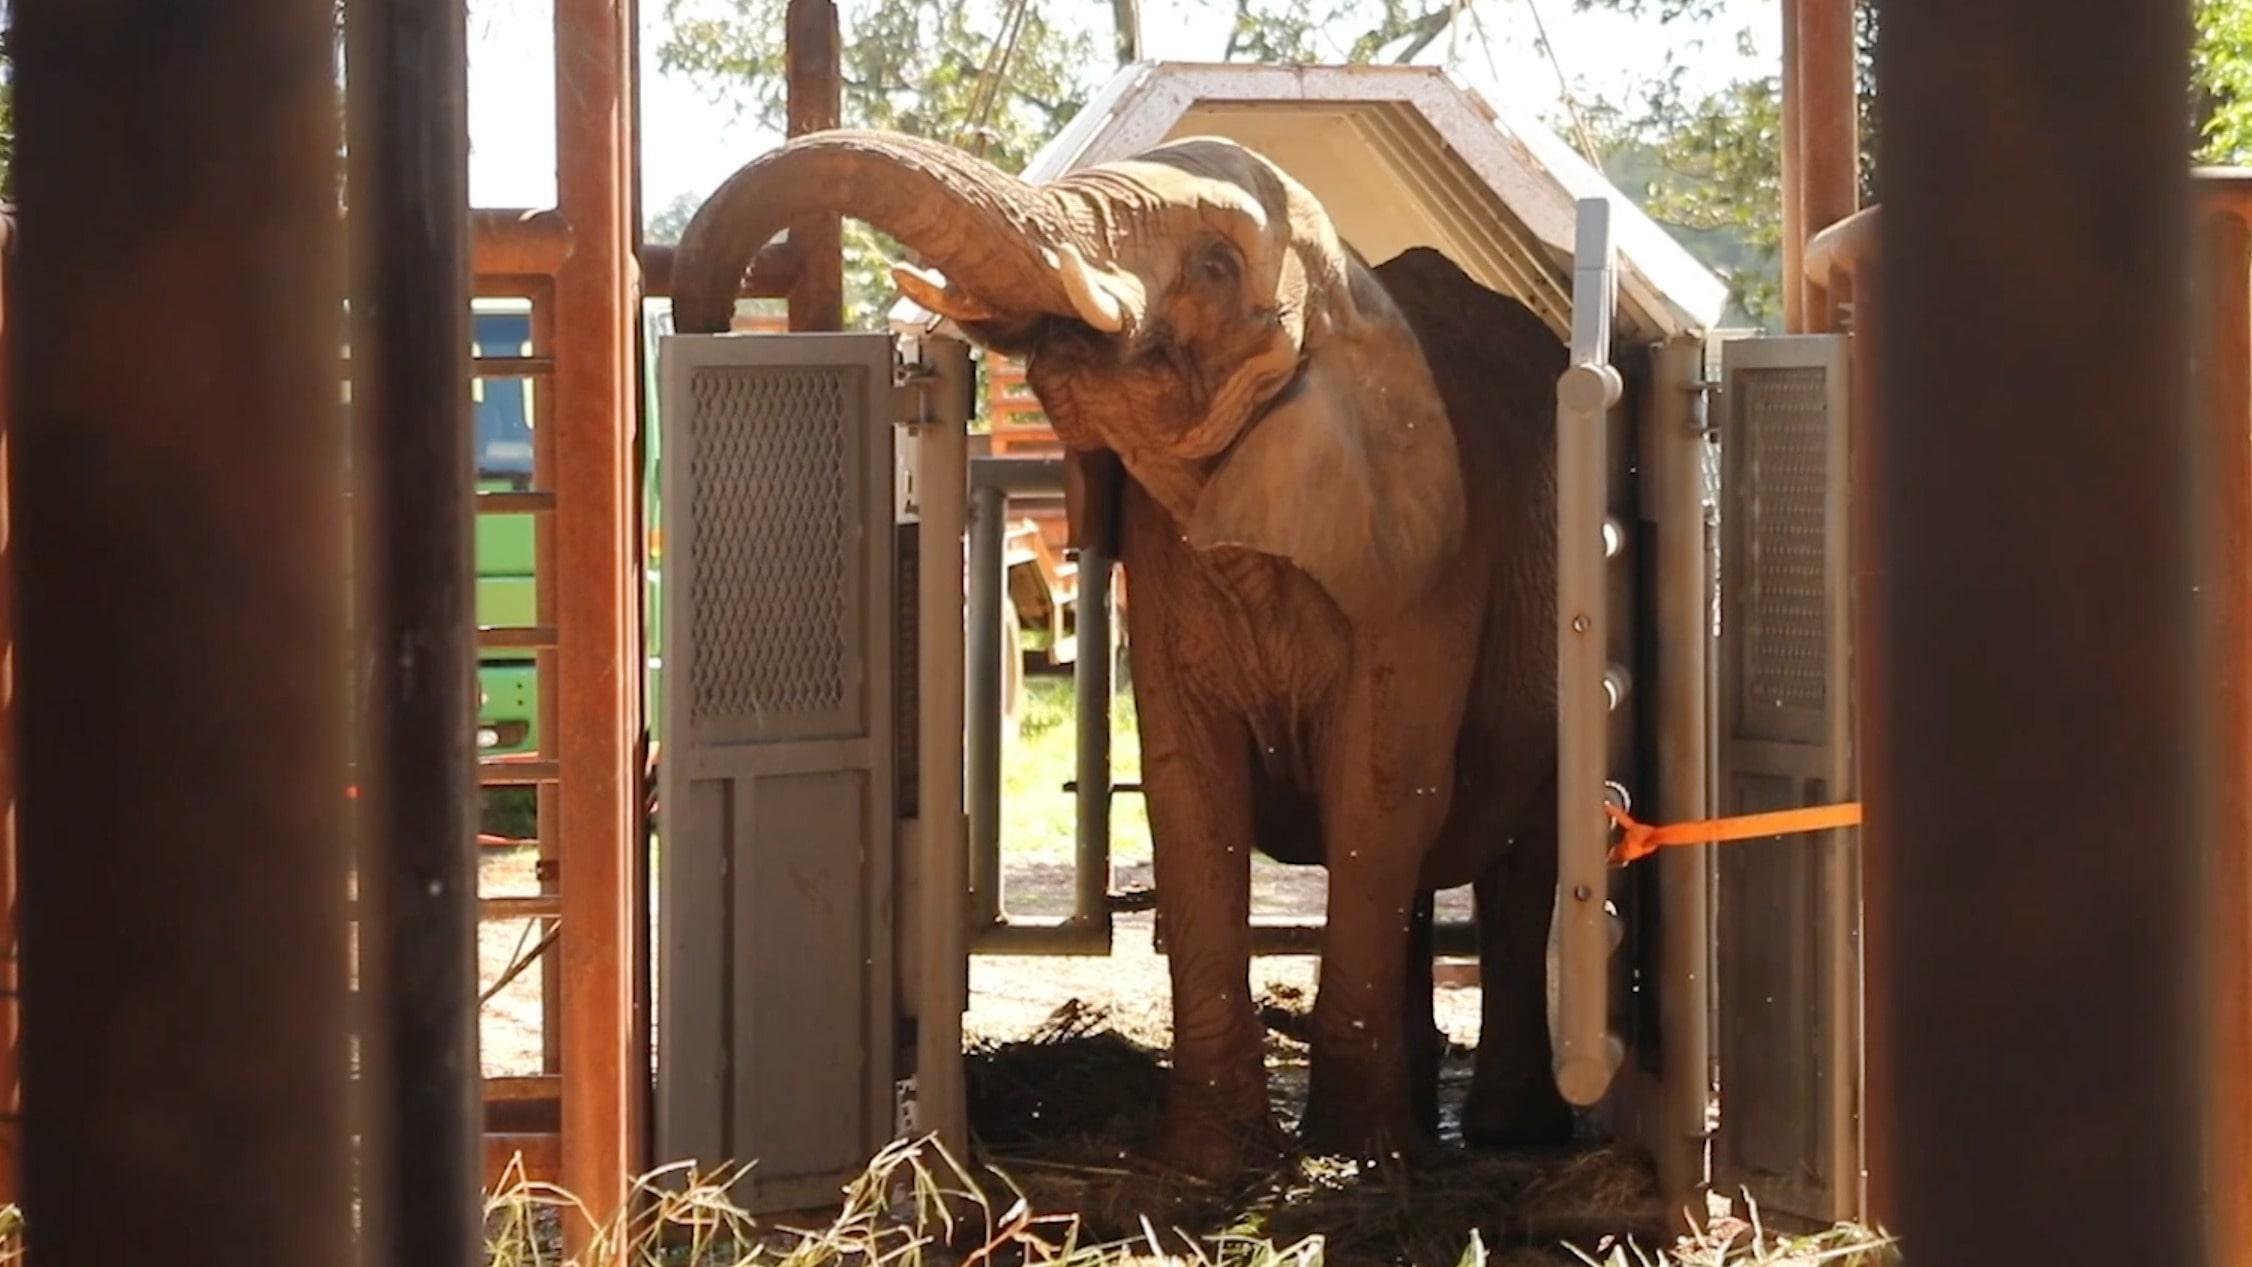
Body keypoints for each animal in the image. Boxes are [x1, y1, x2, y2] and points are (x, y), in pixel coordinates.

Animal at [672, 129, 1574, 1179]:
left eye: (1217, 266)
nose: (705, 329)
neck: (1352, 300)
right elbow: (1191, 790)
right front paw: (1207, 1165)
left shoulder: (1429, 563)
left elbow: (1382, 788)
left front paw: (1350, 1159)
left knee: (1520, 866)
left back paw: (1507, 1131)